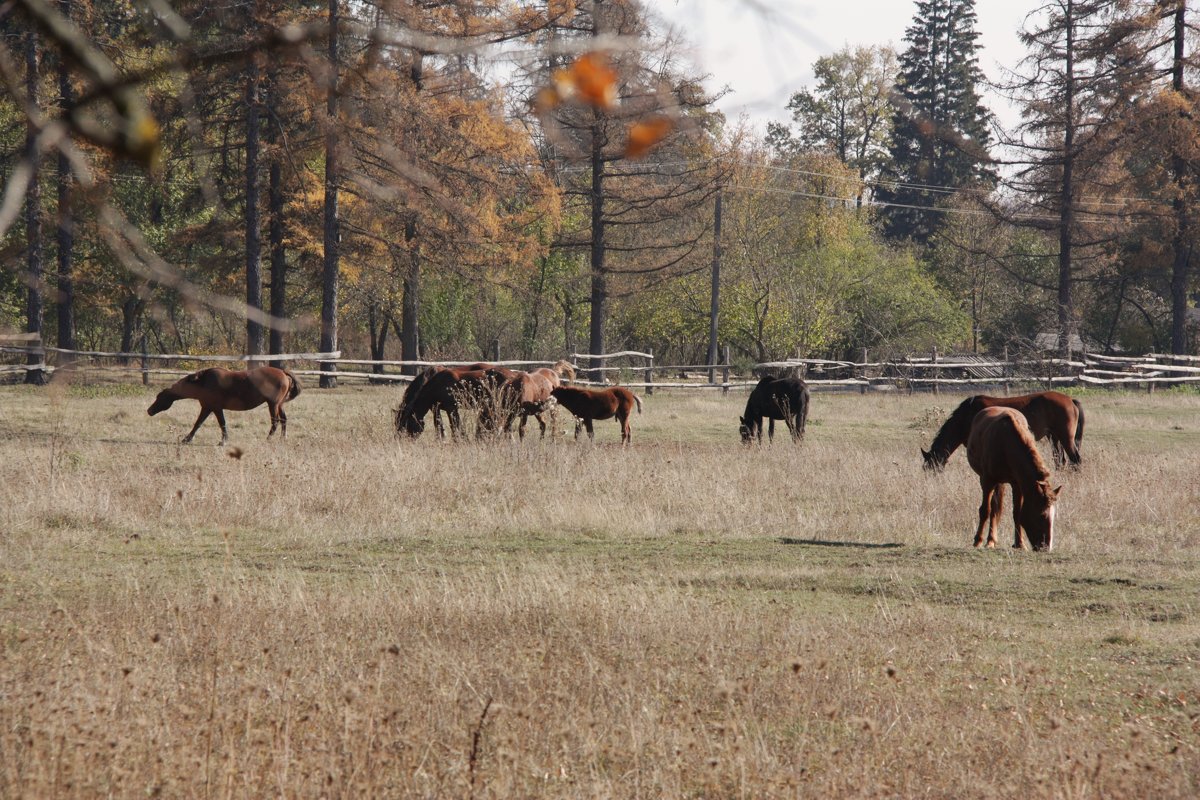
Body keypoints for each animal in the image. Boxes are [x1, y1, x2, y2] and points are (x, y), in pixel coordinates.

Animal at [147, 367, 302, 448]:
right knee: (284, 420)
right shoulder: (207, 408)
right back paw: (282, 439)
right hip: (279, 404)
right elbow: (198, 424)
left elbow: (221, 424)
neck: (204, 382)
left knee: (275, 422)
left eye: (159, 397)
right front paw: (187, 438)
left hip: (273, 404)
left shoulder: (215, 408)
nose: (149, 411)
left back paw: (268, 439)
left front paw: (223, 441)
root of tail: (283, 372)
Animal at [921, 393, 1084, 472]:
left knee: (1075, 459)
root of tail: (1070, 400)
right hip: (1054, 437)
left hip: (1065, 437)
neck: (967, 415)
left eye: (931, 467)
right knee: (1060, 460)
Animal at [964, 407, 1060, 551]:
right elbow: (985, 510)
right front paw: (977, 541)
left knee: (996, 509)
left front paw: (1019, 544)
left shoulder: (1017, 483)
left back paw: (992, 540)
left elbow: (1017, 513)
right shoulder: (988, 481)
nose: (1045, 548)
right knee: (992, 508)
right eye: (1042, 515)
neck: (1005, 444)